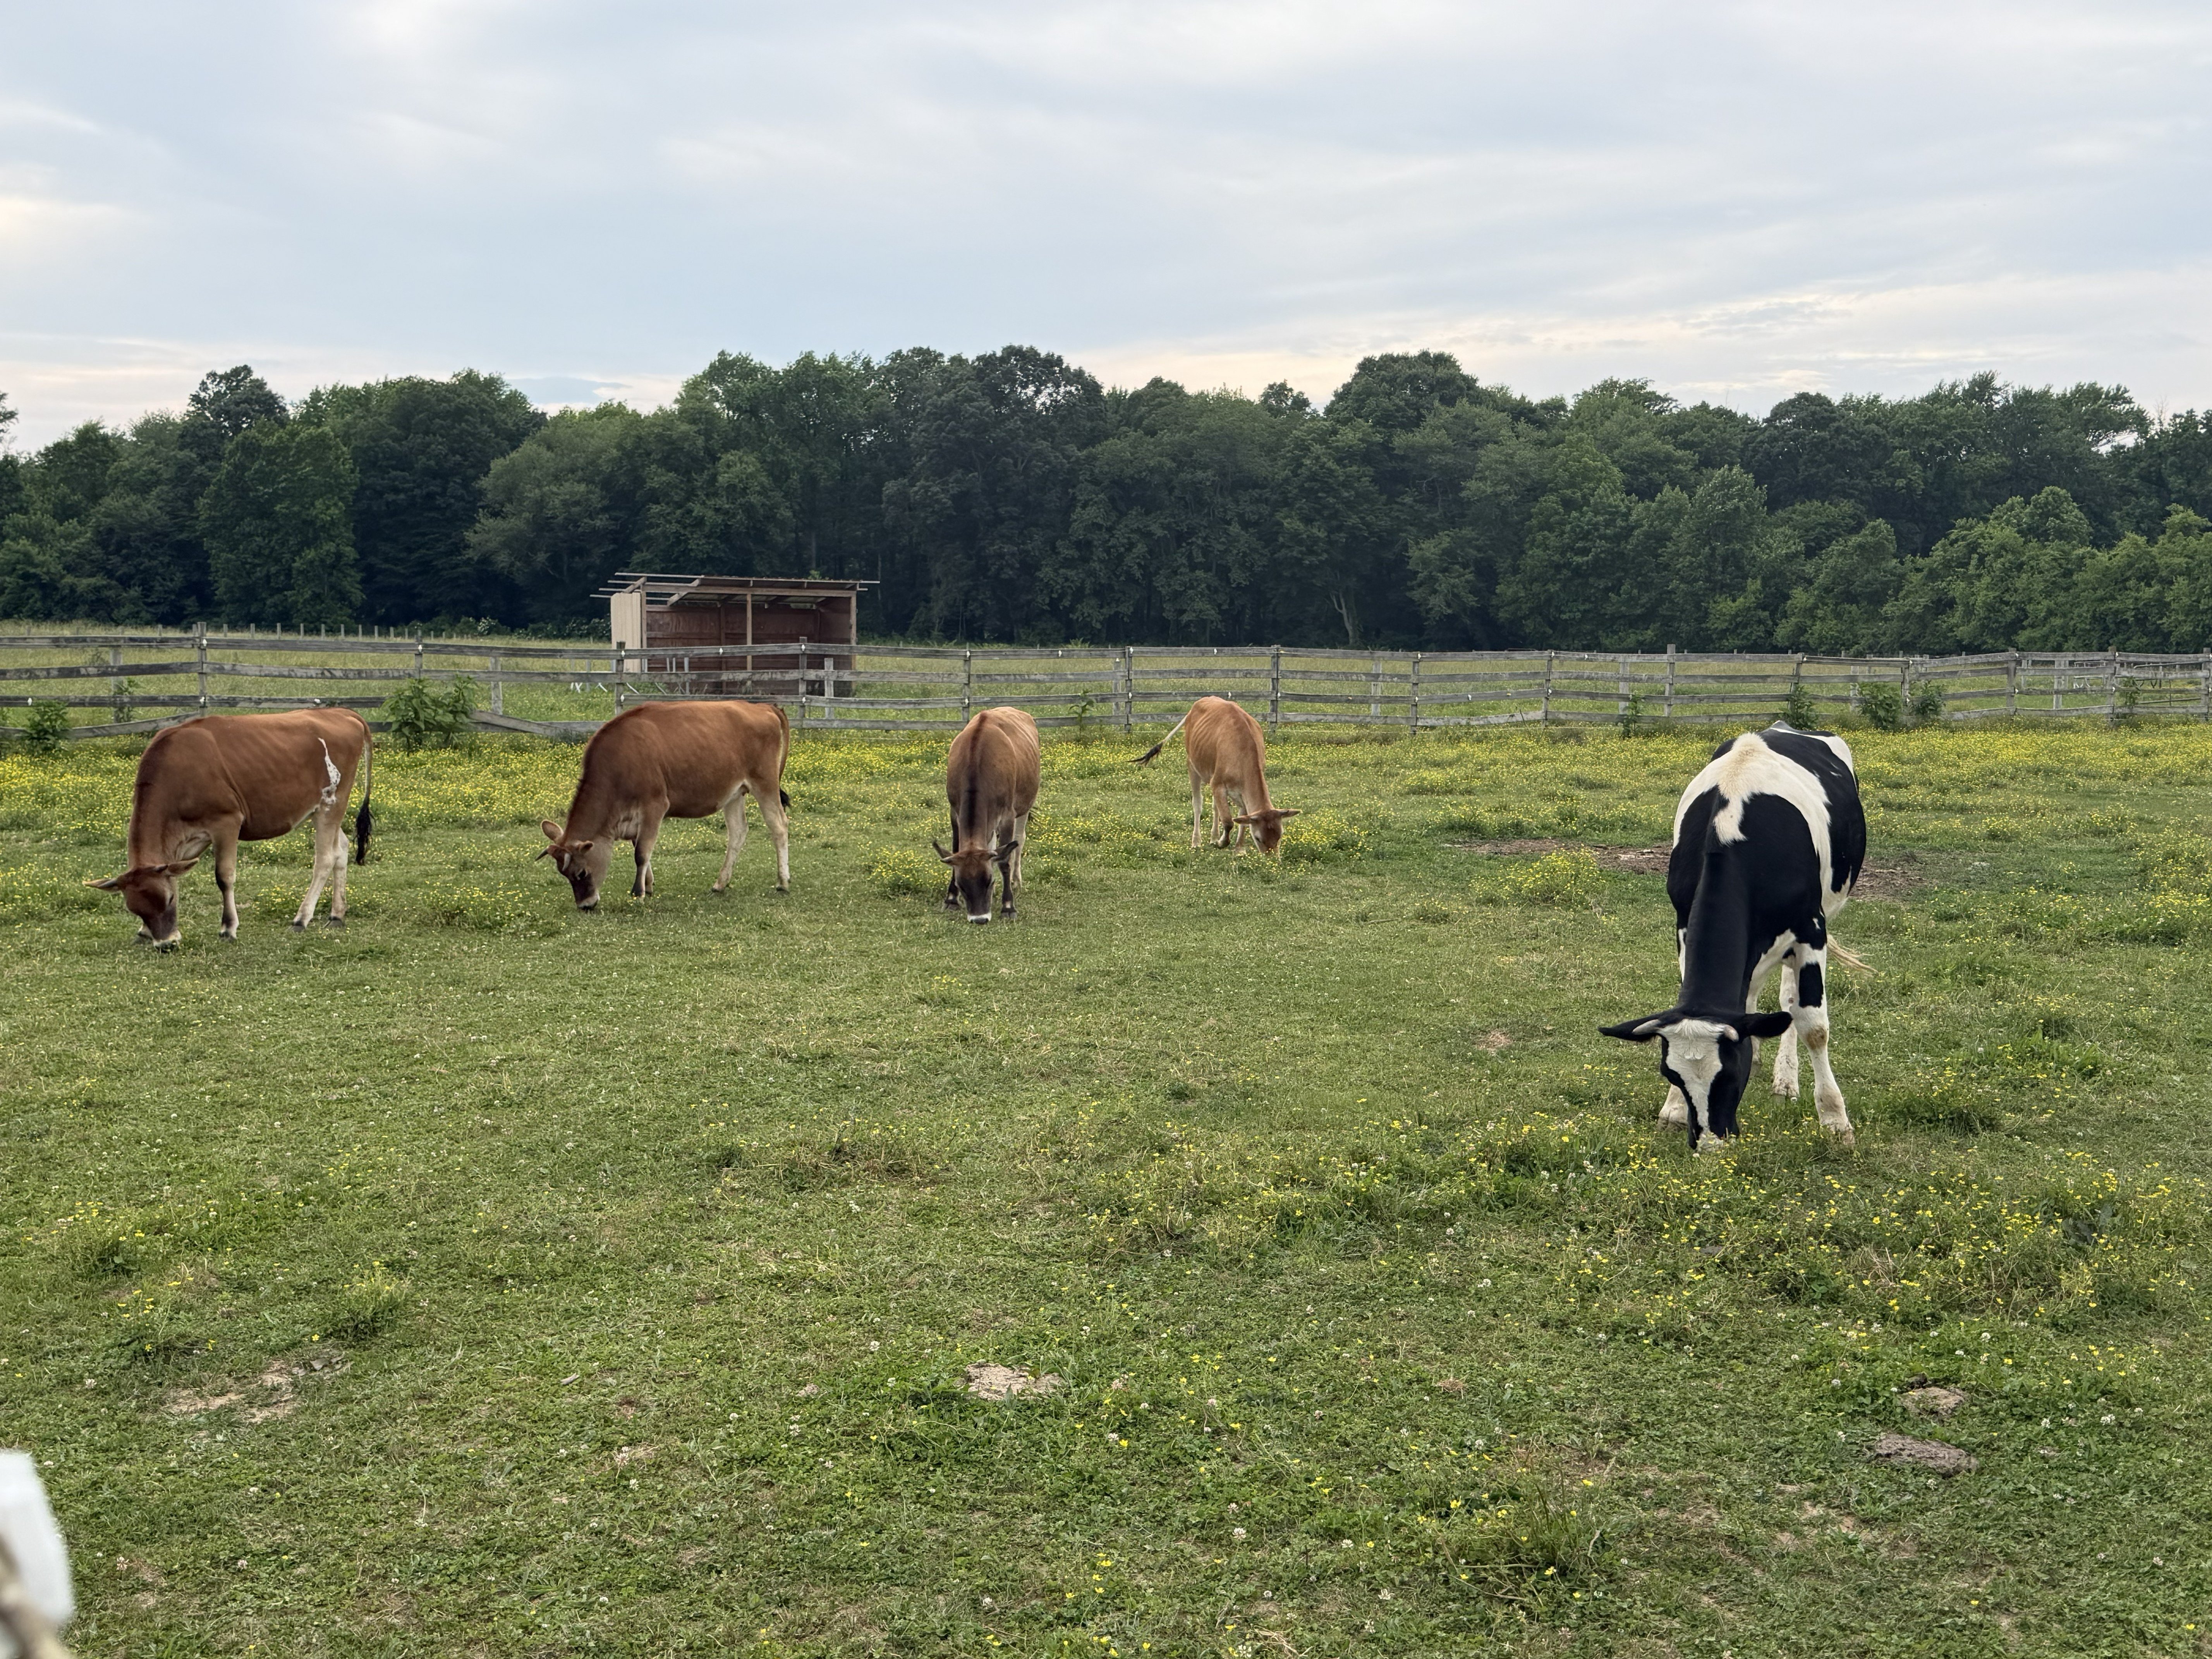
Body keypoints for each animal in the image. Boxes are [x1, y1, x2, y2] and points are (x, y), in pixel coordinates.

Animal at [87, 708, 374, 947]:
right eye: (133, 909)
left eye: (168, 901)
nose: (167, 944)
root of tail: (341, 712)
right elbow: (174, 875)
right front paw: (145, 933)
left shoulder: (226, 823)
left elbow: (224, 877)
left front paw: (228, 928)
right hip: (322, 810)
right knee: (342, 849)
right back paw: (337, 915)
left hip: (331, 805)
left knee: (325, 858)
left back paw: (301, 918)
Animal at [538, 701, 790, 909]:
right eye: (564, 875)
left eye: (581, 873)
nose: (585, 906)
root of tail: (763, 707)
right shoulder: (635, 819)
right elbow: (641, 848)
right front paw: (648, 886)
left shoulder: (654, 806)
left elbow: (641, 853)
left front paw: (638, 893)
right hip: (734, 793)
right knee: (738, 832)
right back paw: (720, 883)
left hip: (765, 783)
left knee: (779, 826)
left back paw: (783, 882)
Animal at [936, 706, 1039, 923]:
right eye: (961, 885)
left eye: (989, 881)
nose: (980, 919)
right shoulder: (954, 811)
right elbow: (955, 849)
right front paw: (951, 899)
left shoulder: (1008, 814)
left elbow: (1005, 860)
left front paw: (1008, 907)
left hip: (1026, 803)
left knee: (1019, 840)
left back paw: (1016, 881)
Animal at [1131, 695, 1299, 854]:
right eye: (1258, 838)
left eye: (1280, 835)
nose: (1273, 860)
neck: (1242, 751)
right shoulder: (1218, 784)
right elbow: (1229, 822)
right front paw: (1222, 843)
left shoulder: (1239, 792)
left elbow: (1242, 820)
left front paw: (1239, 849)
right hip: (1192, 766)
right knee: (1198, 804)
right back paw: (1197, 841)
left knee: (1215, 807)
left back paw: (1213, 837)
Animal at [1601, 723, 1866, 1152]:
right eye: (1671, 1075)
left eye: (1728, 1073)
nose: (1710, 1143)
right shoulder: (1683, 926)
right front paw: (1673, 1111)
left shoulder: (1812, 929)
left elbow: (1812, 1024)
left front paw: (1835, 1121)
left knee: (1789, 1002)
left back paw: (1786, 1080)